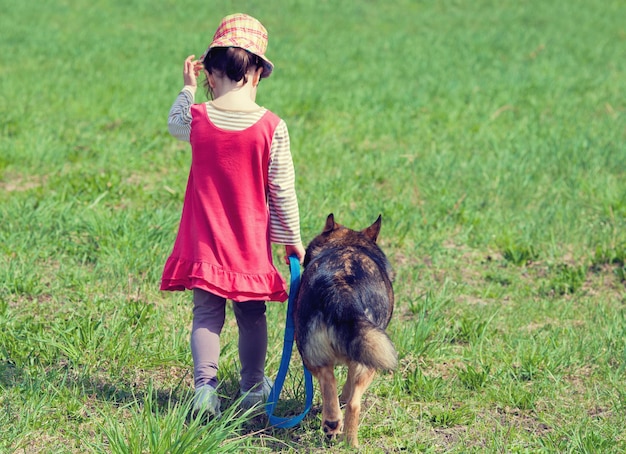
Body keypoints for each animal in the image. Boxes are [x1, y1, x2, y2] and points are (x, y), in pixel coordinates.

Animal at [294, 214, 394, 446]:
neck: (347, 244)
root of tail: (340, 286)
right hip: (366, 360)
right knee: (350, 399)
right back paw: (348, 439)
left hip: (314, 353)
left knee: (331, 384)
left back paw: (335, 427)